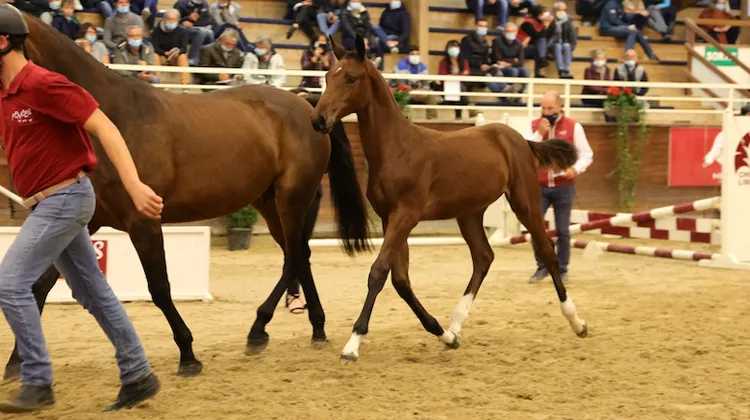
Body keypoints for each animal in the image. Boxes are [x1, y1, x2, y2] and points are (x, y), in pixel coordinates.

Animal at [2, 13, 371, 380]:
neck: (110, 119)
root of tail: (306, 104)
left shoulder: (144, 221)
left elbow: (160, 288)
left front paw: (188, 354)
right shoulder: (84, 222)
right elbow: (40, 284)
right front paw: (17, 363)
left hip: (291, 200)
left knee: (295, 256)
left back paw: (265, 327)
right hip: (269, 204)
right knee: (298, 256)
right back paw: (311, 328)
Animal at [310, 34, 589, 362]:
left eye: (351, 78)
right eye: (327, 77)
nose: (318, 120)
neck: (397, 148)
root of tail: (519, 138)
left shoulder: (406, 215)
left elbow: (378, 272)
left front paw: (353, 344)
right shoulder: (392, 218)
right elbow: (400, 279)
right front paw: (443, 334)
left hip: (525, 201)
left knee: (547, 251)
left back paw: (577, 322)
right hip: (469, 213)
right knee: (483, 257)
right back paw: (455, 326)